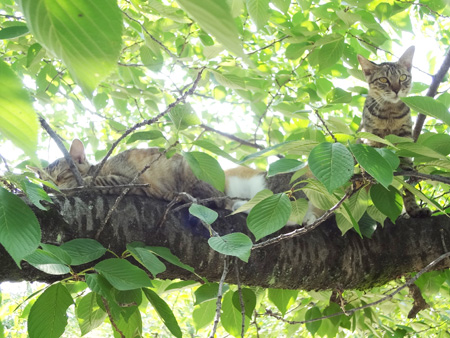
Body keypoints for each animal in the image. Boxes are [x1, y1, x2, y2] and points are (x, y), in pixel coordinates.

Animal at [356, 46, 430, 218]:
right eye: (383, 80)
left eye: (403, 77)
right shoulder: (372, 136)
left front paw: (413, 209)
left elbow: (408, 183)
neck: (390, 112)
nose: (396, 89)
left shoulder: (404, 139)